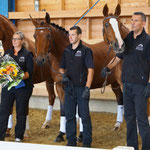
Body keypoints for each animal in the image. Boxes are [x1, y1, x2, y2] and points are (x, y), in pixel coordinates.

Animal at [0, 14, 66, 142]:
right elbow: (10, 106)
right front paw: (8, 130)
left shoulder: (27, 85)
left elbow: (24, 108)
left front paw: (25, 131)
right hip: (49, 80)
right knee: (51, 97)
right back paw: (46, 123)